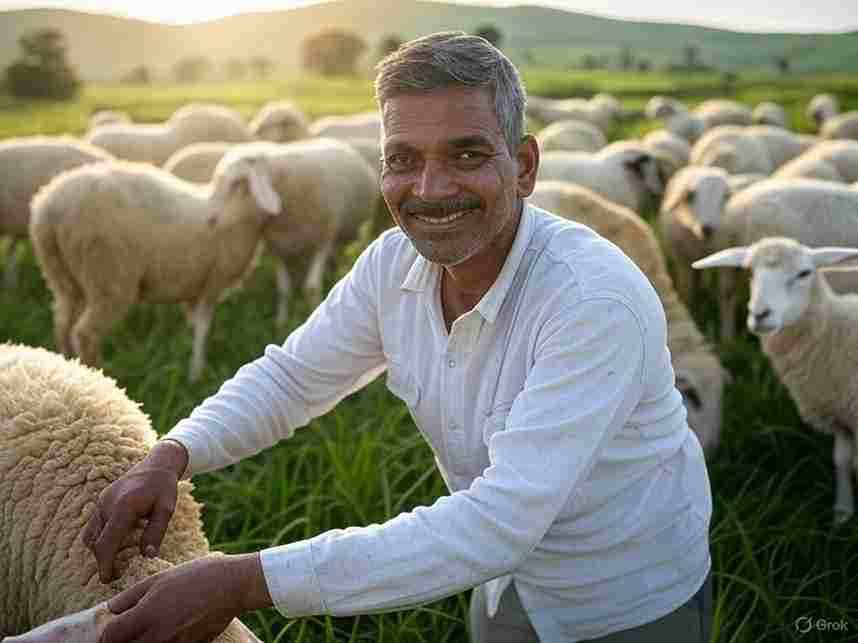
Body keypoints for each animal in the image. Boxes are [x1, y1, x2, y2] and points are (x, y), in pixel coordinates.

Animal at [29, 148, 283, 383]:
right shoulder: (213, 281)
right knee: (84, 333)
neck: (240, 214)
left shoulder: (195, 287)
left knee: (62, 323)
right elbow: (203, 326)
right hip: (109, 276)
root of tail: (49, 207)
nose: (212, 219)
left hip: (62, 276)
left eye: (236, 182)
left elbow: (194, 324)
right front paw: (196, 372)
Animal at [692, 238, 858, 523]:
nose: (760, 314)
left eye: (804, 273)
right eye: (750, 272)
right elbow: (842, 461)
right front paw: (842, 515)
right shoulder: (839, 415)